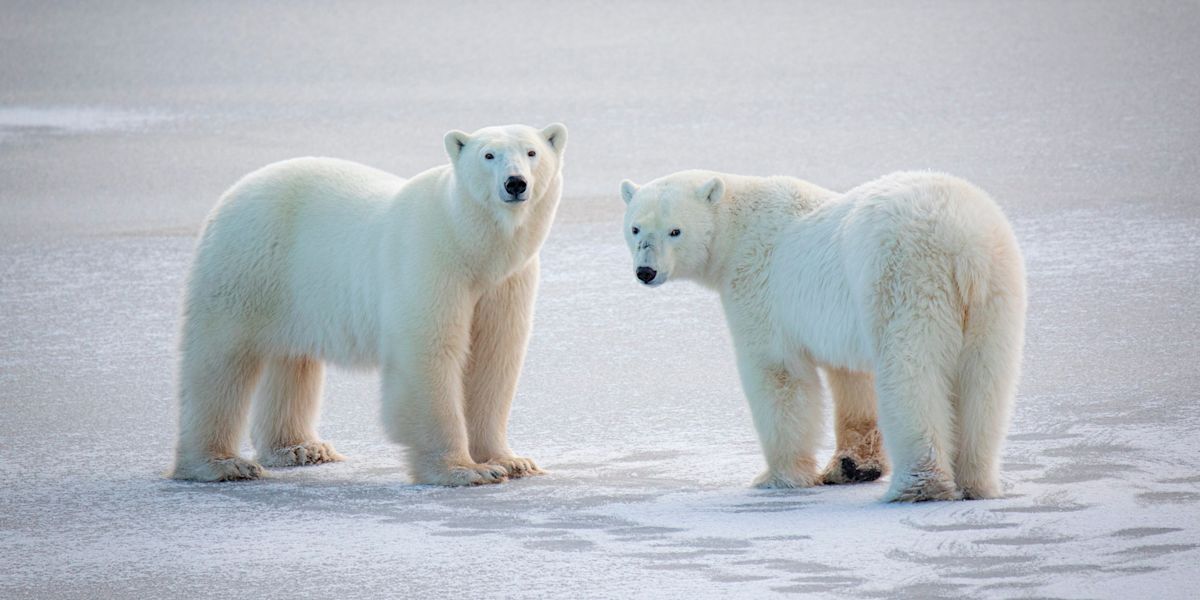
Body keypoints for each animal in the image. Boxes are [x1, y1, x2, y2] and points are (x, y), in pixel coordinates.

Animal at [171, 123, 567, 486]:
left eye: (531, 152)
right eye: (488, 155)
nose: (515, 183)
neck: (469, 243)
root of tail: (234, 191)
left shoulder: (505, 283)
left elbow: (493, 359)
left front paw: (511, 461)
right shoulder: (431, 262)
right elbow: (430, 353)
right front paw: (463, 471)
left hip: (295, 290)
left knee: (292, 361)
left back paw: (300, 448)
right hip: (247, 264)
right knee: (220, 362)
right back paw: (221, 464)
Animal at [620, 170, 1026, 502]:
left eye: (675, 230)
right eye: (636, 229)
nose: (645, 271)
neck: (736, 227)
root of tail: (963, 245)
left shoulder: (761, 288)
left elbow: (778, 374)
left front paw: (776, 477)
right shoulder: (841, 320)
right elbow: (852, 378)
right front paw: (852, 467)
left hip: (906, 278)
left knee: (912, 375)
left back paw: (921, 487)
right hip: (997, 290)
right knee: (987, 380)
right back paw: (976, 482)